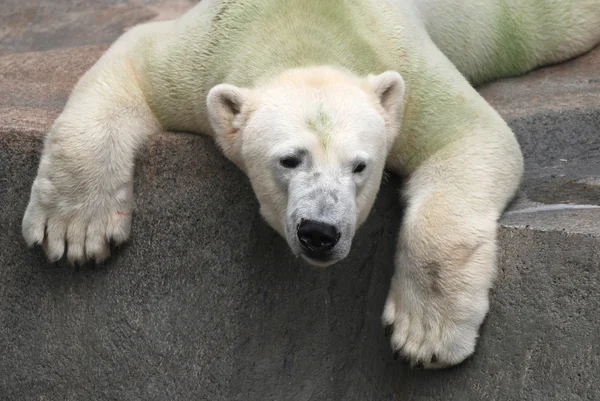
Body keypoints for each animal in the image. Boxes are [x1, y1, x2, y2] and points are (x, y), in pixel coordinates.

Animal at [21, 0, 596, 368]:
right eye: (289, 160)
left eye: (360, 167)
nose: (320, 232)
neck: (300, 25)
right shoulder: (202, 54)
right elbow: (130, 62)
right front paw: (75, 234)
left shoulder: (403, 70)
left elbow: (472, 135)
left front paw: (423, 336)